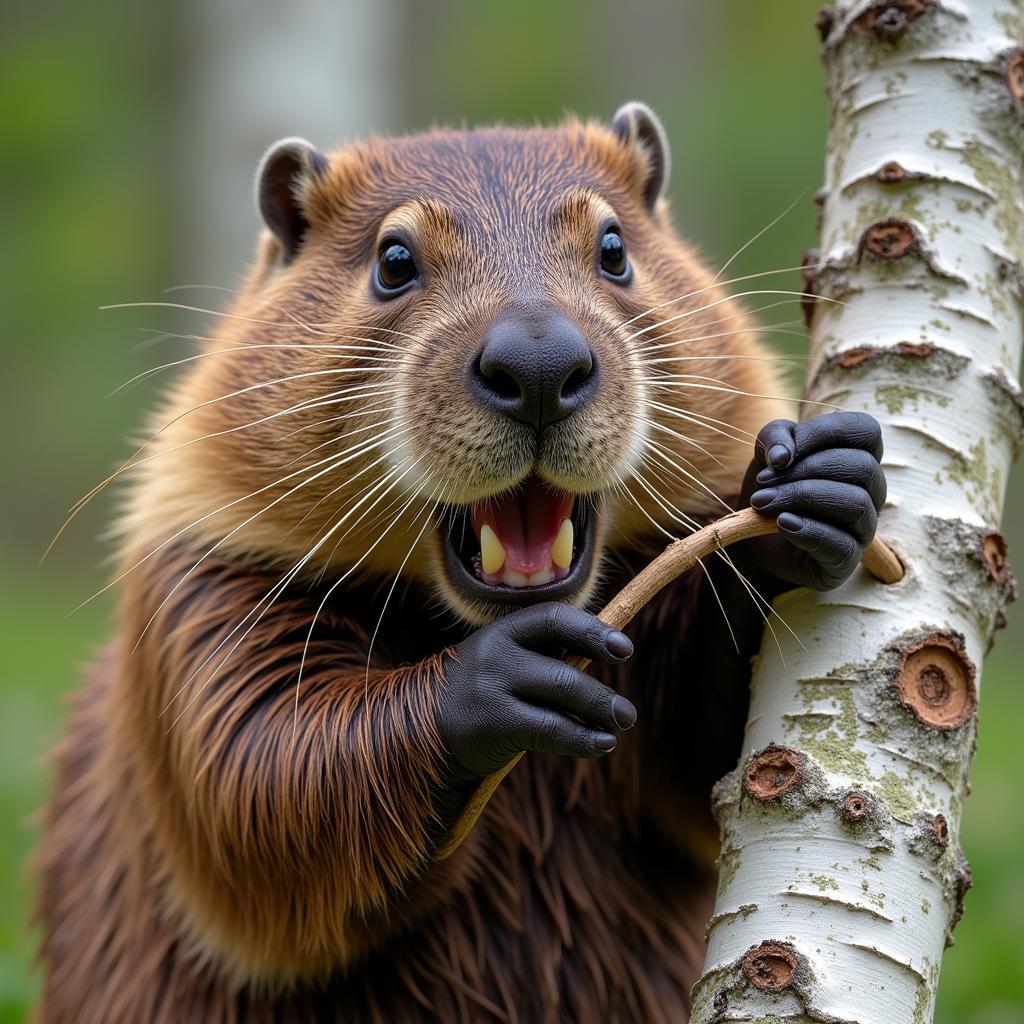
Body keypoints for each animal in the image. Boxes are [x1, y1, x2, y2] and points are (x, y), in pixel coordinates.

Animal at [36, 99, 884, 1019]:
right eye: (394, 260)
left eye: (614, 247)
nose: (540, 365)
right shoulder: (195, 596)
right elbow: (250, 783)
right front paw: (503, 679)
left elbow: (715, 764)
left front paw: (818, 477)